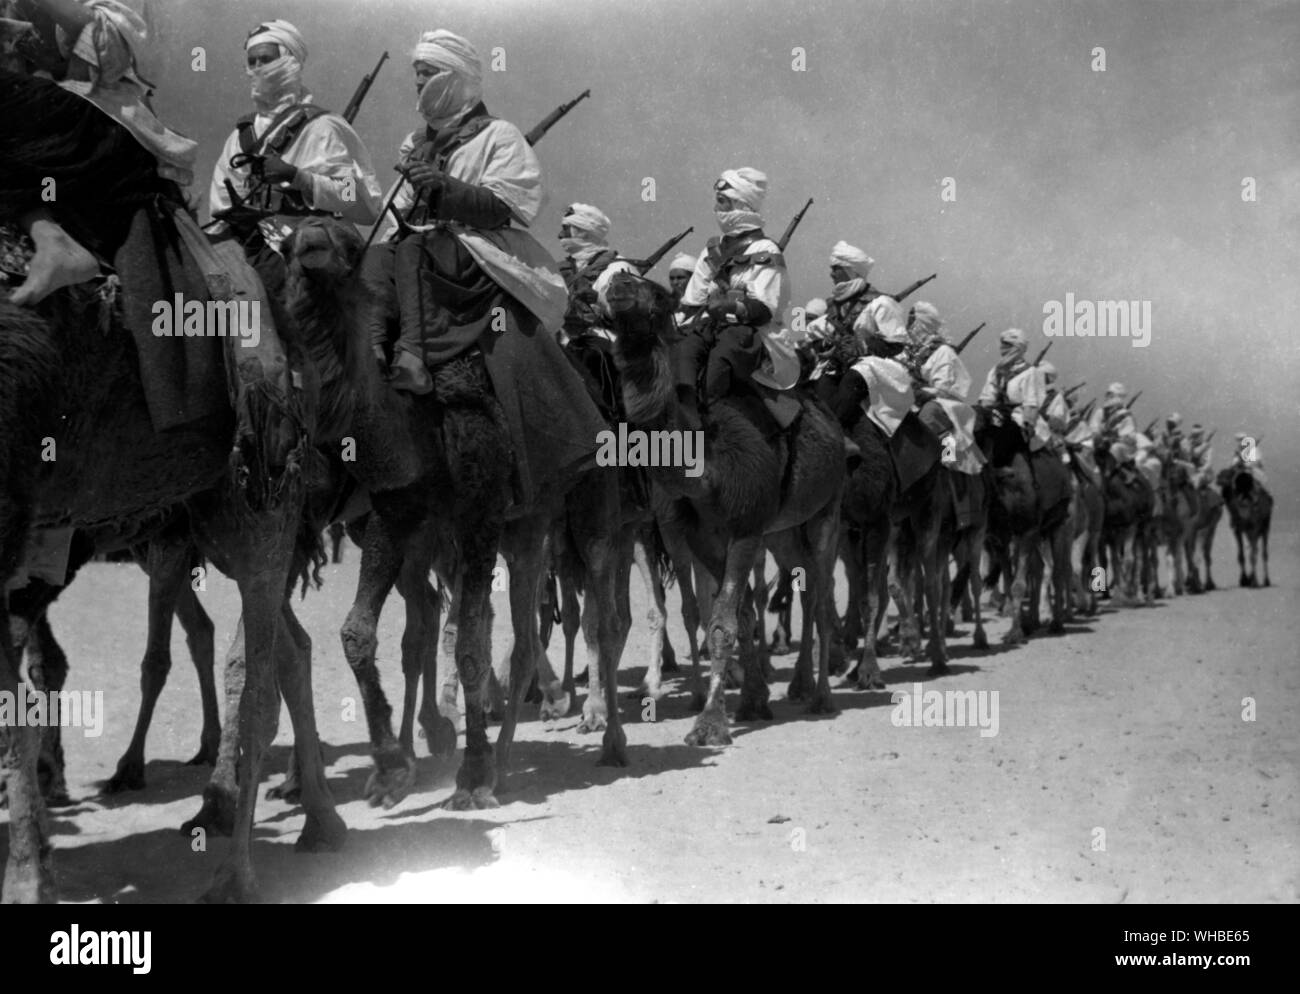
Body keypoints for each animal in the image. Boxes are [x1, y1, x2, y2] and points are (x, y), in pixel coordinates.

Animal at [605, 271, 847, 743]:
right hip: (782, 530)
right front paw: (752, 701)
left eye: (656, 295)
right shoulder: (702, 534)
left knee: (821, 592)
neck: (706, 468)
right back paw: (799, 684)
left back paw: (820, 696)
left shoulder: (747, 525)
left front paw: (709, 724)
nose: (618, 282)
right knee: (805, 584)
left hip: (827, 508)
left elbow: (723, 622)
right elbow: (738, 613)